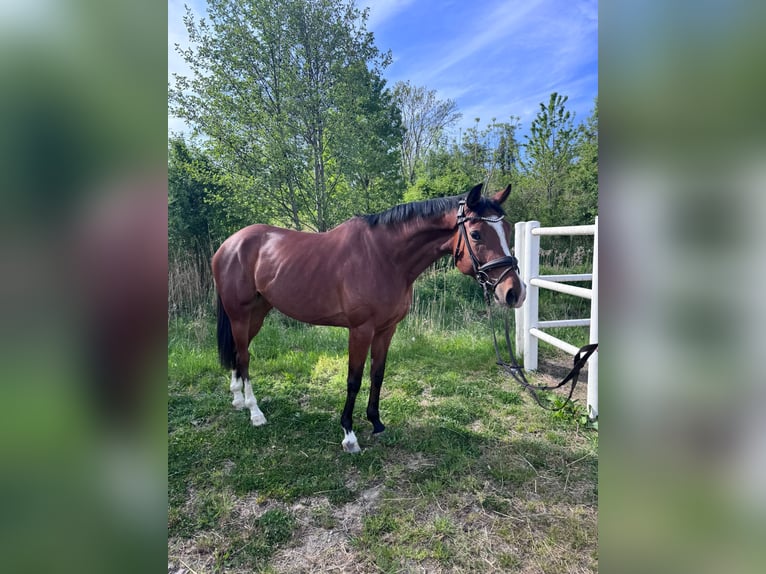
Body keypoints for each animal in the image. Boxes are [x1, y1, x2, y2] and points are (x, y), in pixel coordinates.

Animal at [212, 183, 526, 453]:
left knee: (239, 353)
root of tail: (229, 244)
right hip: (239, 314)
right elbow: (354, 379)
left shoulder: (387, 329)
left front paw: (376, 422)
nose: (515, 293)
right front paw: (349, 435)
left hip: (257, 314)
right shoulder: (360, 330)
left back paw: (238, 399)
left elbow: (377, 374)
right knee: (245, 357)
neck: (383, 257)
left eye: (507, 229)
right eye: (476, 234)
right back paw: (255, 412)